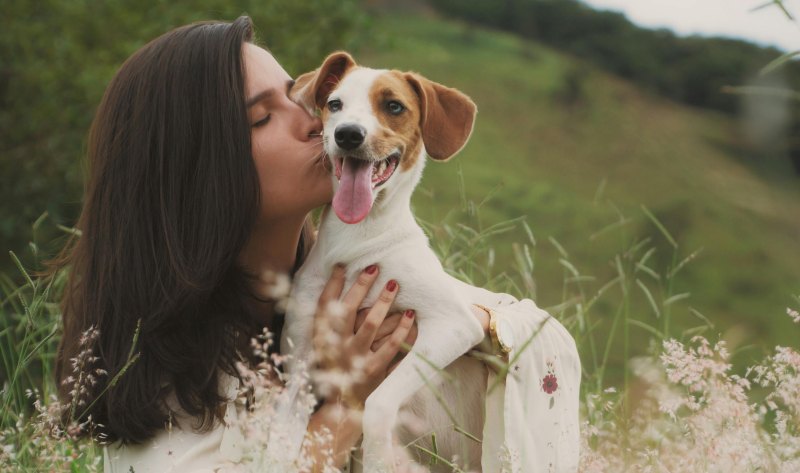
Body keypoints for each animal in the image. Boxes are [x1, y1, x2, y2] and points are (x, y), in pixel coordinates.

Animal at [284, 52, 490, 472]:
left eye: (394, 106)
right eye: (335, 104)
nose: (348, 134)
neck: (356, 240)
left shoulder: (453, 324)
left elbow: (377, 404)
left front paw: (377, 457)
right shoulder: (299, 368)